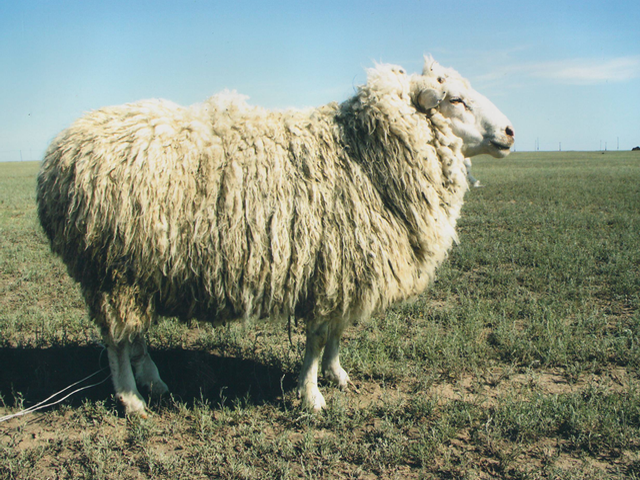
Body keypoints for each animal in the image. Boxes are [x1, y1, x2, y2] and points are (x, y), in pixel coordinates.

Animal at [37, 57, 513, 415]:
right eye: (455, 99)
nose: (510, 132)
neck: (368, 157)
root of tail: (59, 151)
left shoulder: (344, 270)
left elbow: (337, 333)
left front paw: (338, 375)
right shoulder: (330, 267)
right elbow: (317, 340)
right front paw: (312, 395)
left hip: (134, 271)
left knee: (132, 333)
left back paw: (153, 382)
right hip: (111, 272)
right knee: (116, 341)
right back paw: (132, 400)